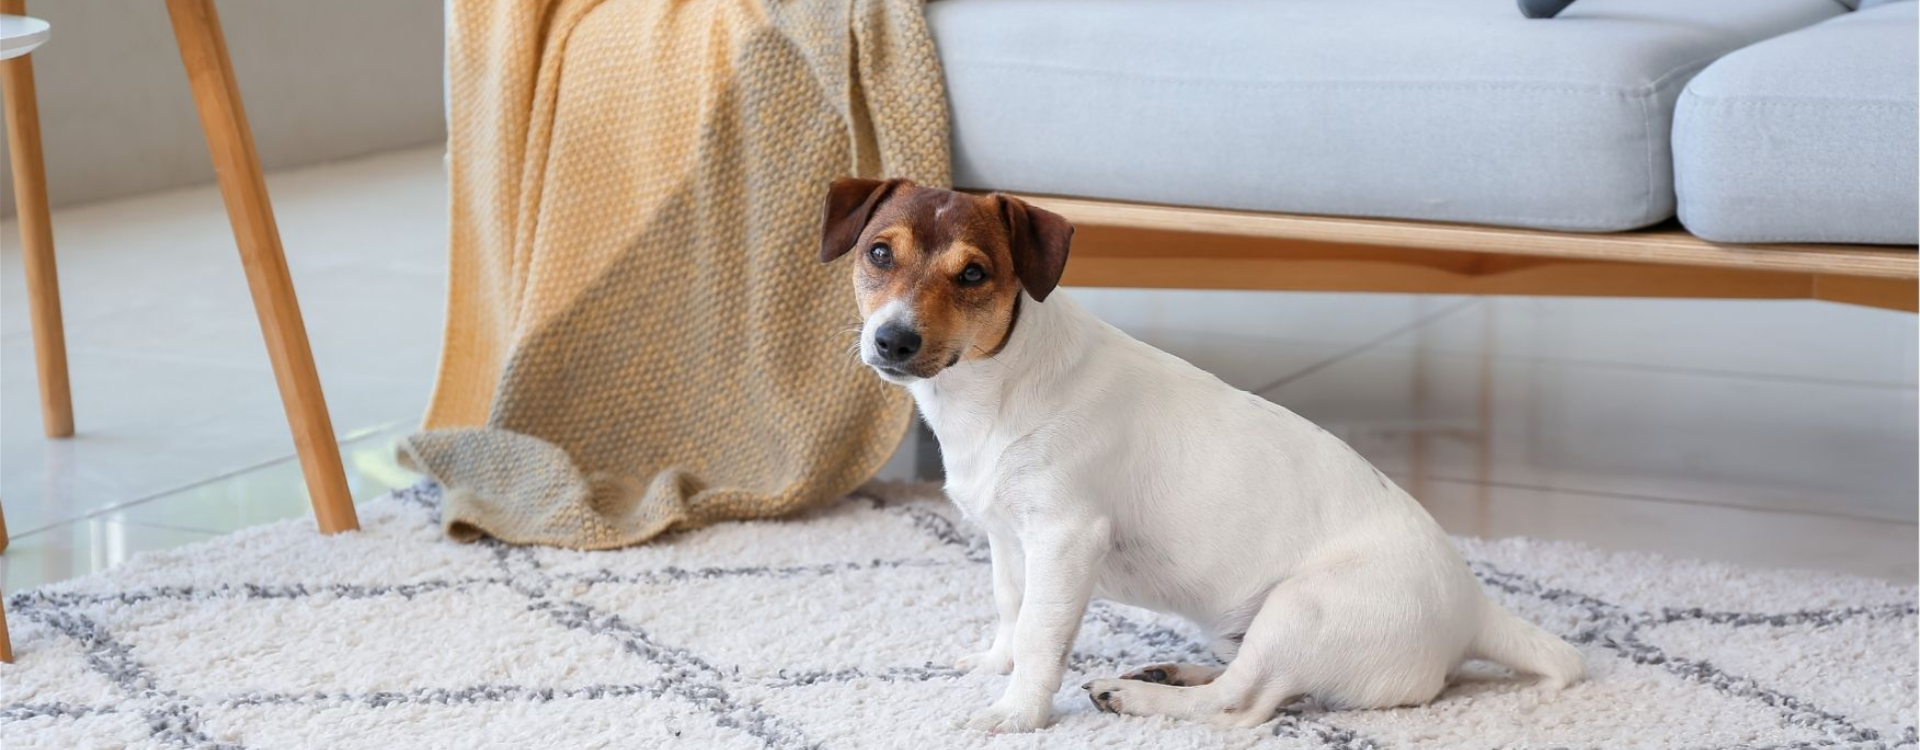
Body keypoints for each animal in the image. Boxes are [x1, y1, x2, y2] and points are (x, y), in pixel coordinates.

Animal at [817, 177, 1582, 732]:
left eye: (973, 274)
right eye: (879, 253)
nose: (893, 340)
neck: (992, 391)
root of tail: (1475, 610)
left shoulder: (1066, 539)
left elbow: (1040, 633)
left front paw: (1016, 715)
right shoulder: (1008, 537)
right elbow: (1012, 609)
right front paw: (994, 665)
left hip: (1300, 611)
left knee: (1244, 707)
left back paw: (1144, 699)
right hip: (1247, 628)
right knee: (1252, 689)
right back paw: (1168, 673)